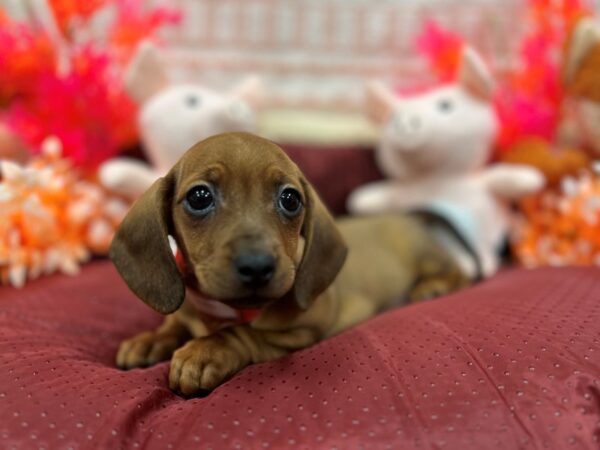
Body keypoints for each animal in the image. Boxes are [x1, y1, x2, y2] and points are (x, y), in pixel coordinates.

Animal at [112, 132, 468, 396]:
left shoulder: (307, 328)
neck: (223, 310)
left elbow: (244, 333)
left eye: (290, 198)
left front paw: (206, 350)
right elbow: (176, 322)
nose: (257, 266)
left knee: (461, 271)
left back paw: (434, 286)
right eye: (199, 197)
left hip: (424, 254)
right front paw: (153, 338)